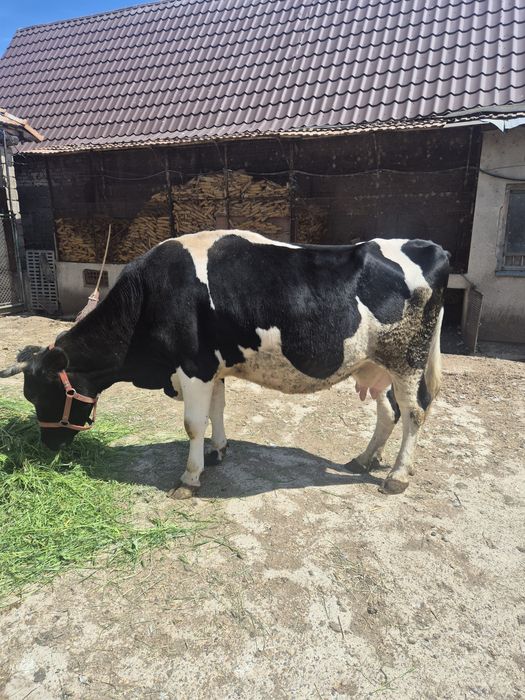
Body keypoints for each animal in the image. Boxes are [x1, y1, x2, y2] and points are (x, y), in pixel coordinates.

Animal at [0, 230, 449, 498]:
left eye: (41, 395)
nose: (48, 446)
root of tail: (429, 246)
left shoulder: (193, 366)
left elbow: (192, 423)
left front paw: (189, 478)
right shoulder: (211, 367)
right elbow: (217, 409)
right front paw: (218, 451)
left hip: (407, 361)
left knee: (413, 413)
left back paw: (396, 476)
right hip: (377, 365)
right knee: (388, 412)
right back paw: (362, 459)